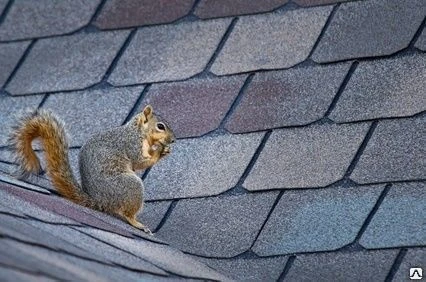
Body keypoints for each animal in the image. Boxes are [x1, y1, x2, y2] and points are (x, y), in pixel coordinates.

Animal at [9, 104, 175, 235]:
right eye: (160, 126)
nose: (173, 140)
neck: (138, 131)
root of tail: (100, 201)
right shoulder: (131, 144)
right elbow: (139, 161)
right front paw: (159, 150)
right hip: (130, 186)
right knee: (128, 214)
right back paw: (137, 223)